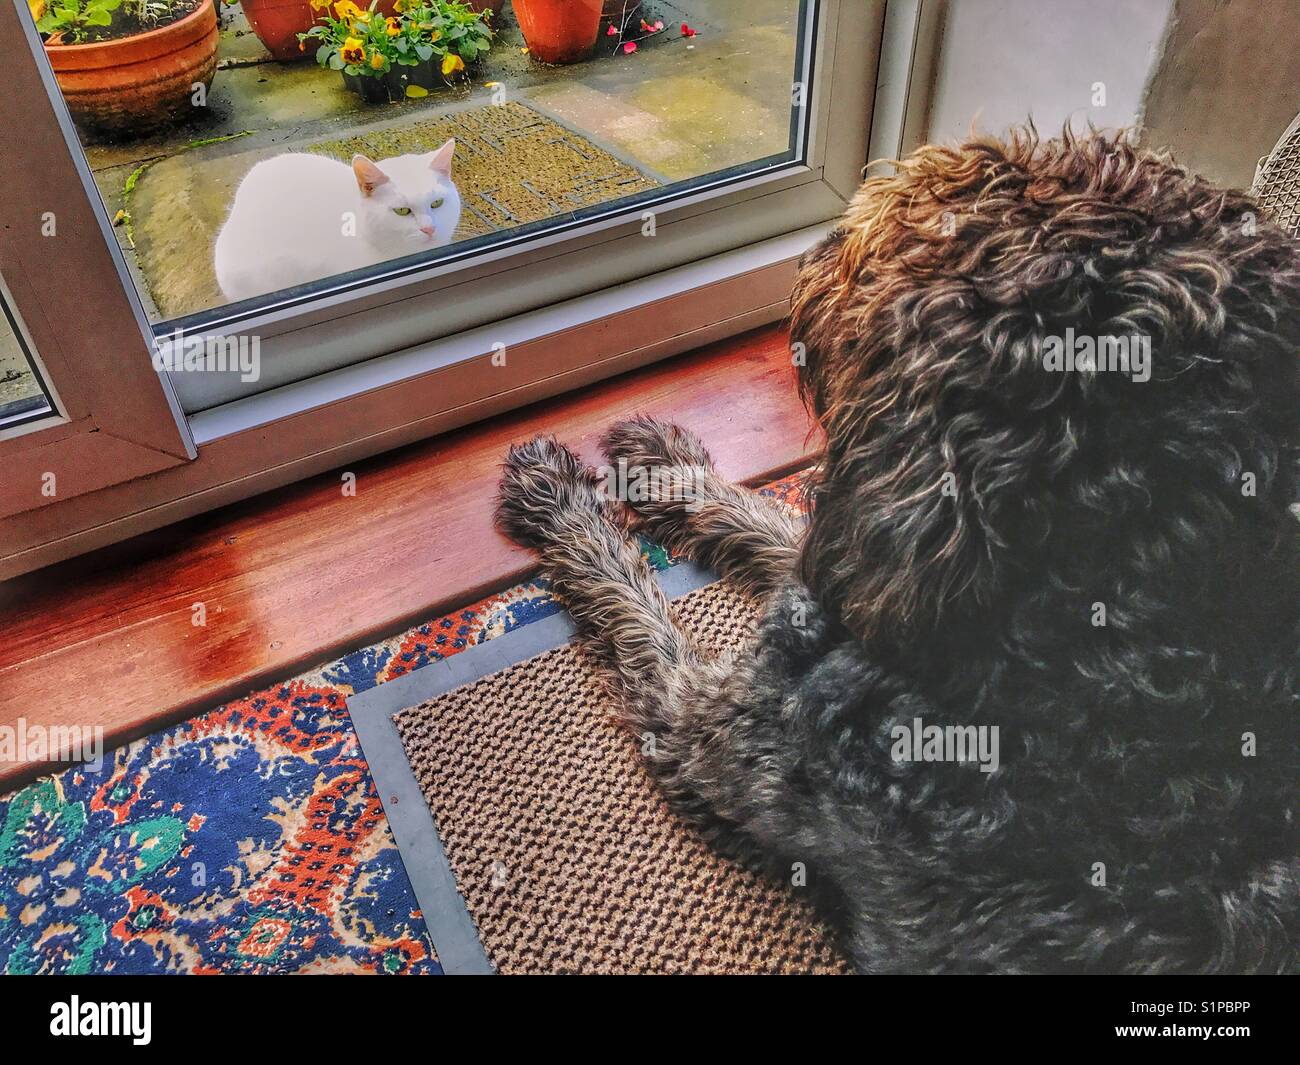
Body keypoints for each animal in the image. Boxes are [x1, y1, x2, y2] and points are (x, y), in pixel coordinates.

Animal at [491, 126, 1294, 972]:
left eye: (904, 230)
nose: (814, 252)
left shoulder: (704, 726)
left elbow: (635, 605)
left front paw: (558, 501)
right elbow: (775, 529)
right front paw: (664, 470)